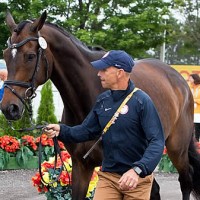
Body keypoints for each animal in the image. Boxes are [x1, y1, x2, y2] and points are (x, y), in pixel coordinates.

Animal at [1, 11, 200, 200]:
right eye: (5, 55)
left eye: (30, 56)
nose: (9, 108)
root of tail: (178, 79)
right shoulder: (81, 165)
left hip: (176, 148)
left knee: (186, 180)